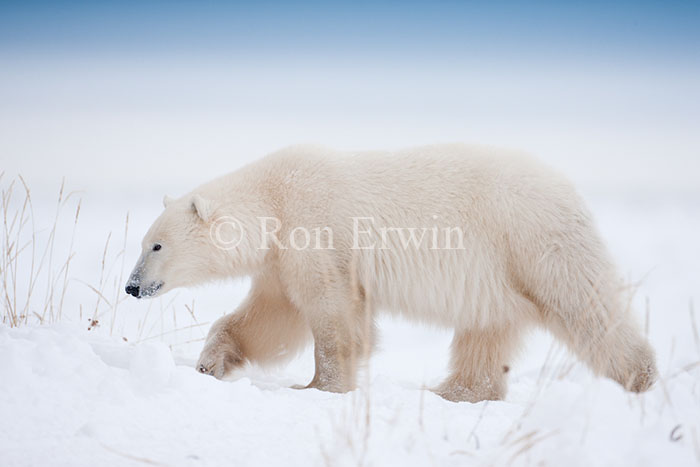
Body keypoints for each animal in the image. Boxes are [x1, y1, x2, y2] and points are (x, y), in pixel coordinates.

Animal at [125, 143, 658, 402]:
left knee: (585, 307)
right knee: (487, 330)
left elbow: (333, 315)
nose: (131, 286)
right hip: (495, 275)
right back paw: (453, 392)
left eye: (156, 244)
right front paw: (210, 364)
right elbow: (273, 316)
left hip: (531, 241)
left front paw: (319, 388)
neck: (274, 199)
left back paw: (639, 378)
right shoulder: (280, 258)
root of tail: (570, 190)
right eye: (143, 241)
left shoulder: (315, 230)